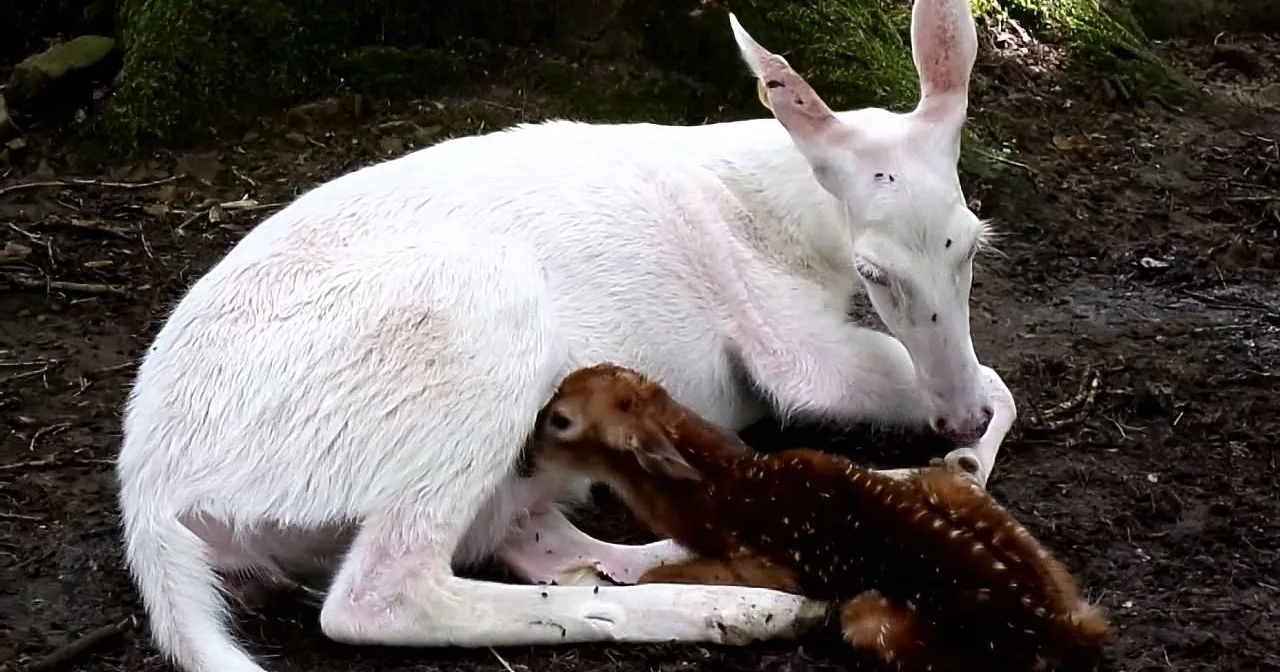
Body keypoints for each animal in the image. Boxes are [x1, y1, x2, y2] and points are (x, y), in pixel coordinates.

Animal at [114, 2, 1019, 671]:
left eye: (974, 243)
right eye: (876, 273)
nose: (956, 420)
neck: (788, 212)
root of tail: (150, 497)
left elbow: (995, 382)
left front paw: (961, 457)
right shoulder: (783, 338)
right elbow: (951, 377)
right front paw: (960, 453)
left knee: (545, 545)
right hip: (478, 327)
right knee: (382, 594)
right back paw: (762, 602)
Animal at [529, 363, 1109, 672]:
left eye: (561, 419)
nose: (526, 450)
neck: (720, 491)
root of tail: (1062, 627)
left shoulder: (766, 563)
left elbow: (660, 571)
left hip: (870, 616)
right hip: (951, 490)